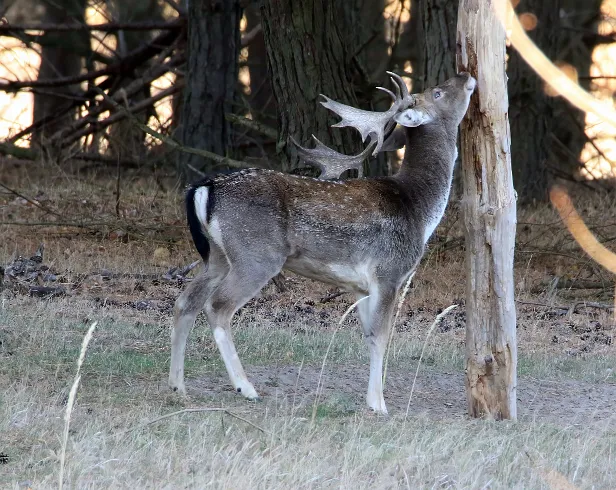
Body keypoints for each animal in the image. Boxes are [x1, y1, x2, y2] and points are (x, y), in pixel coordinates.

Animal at [168, 72, 476, 414]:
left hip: (217, 256)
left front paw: (372, 400)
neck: (418, 209)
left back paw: (178, 387)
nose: (465, 75)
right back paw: (245, 388)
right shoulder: (389, 271)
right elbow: (382, 336)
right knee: (218, 305)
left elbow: (369, 335)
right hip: (256, 255)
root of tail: (205, 187)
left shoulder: (360, 285)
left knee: (185, 302)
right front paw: (379, 404)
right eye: (437, 93)